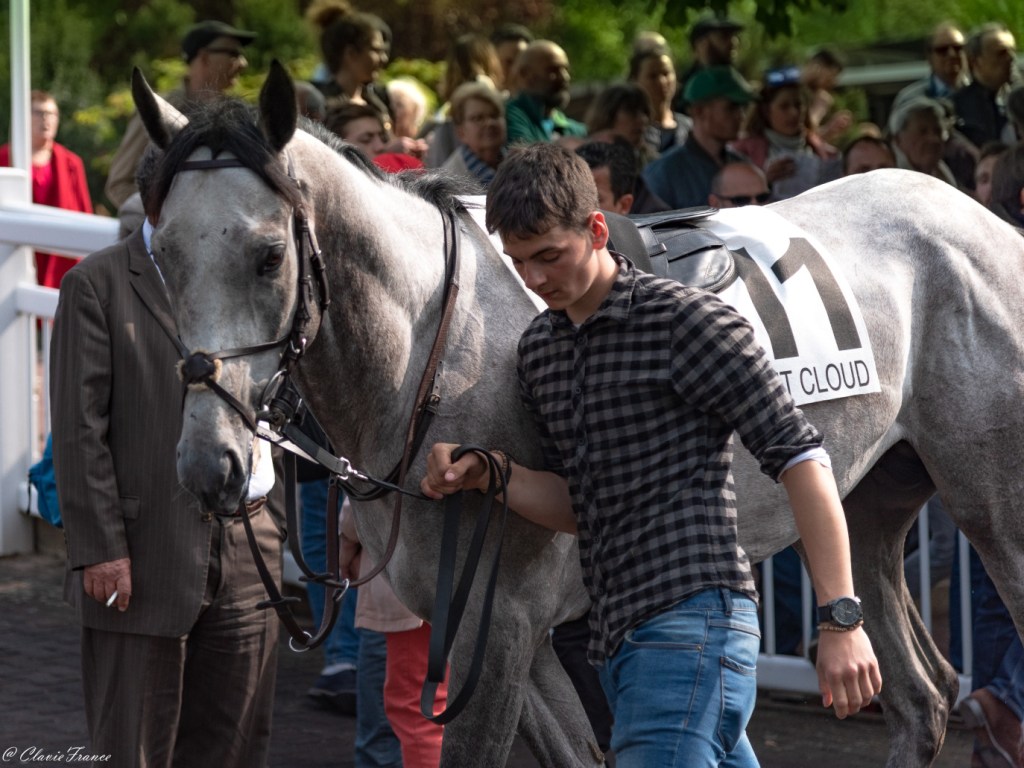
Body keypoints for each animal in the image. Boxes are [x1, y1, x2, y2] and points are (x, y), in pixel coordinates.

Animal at [132, 62, 1024, 767]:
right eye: (160, 251)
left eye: (268, 255)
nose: (210, 466)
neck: (428, 355)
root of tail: (984, 221)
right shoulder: (510, 640)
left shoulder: (498, 631)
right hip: (864, 503)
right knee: (925, 695)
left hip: (994, 507)